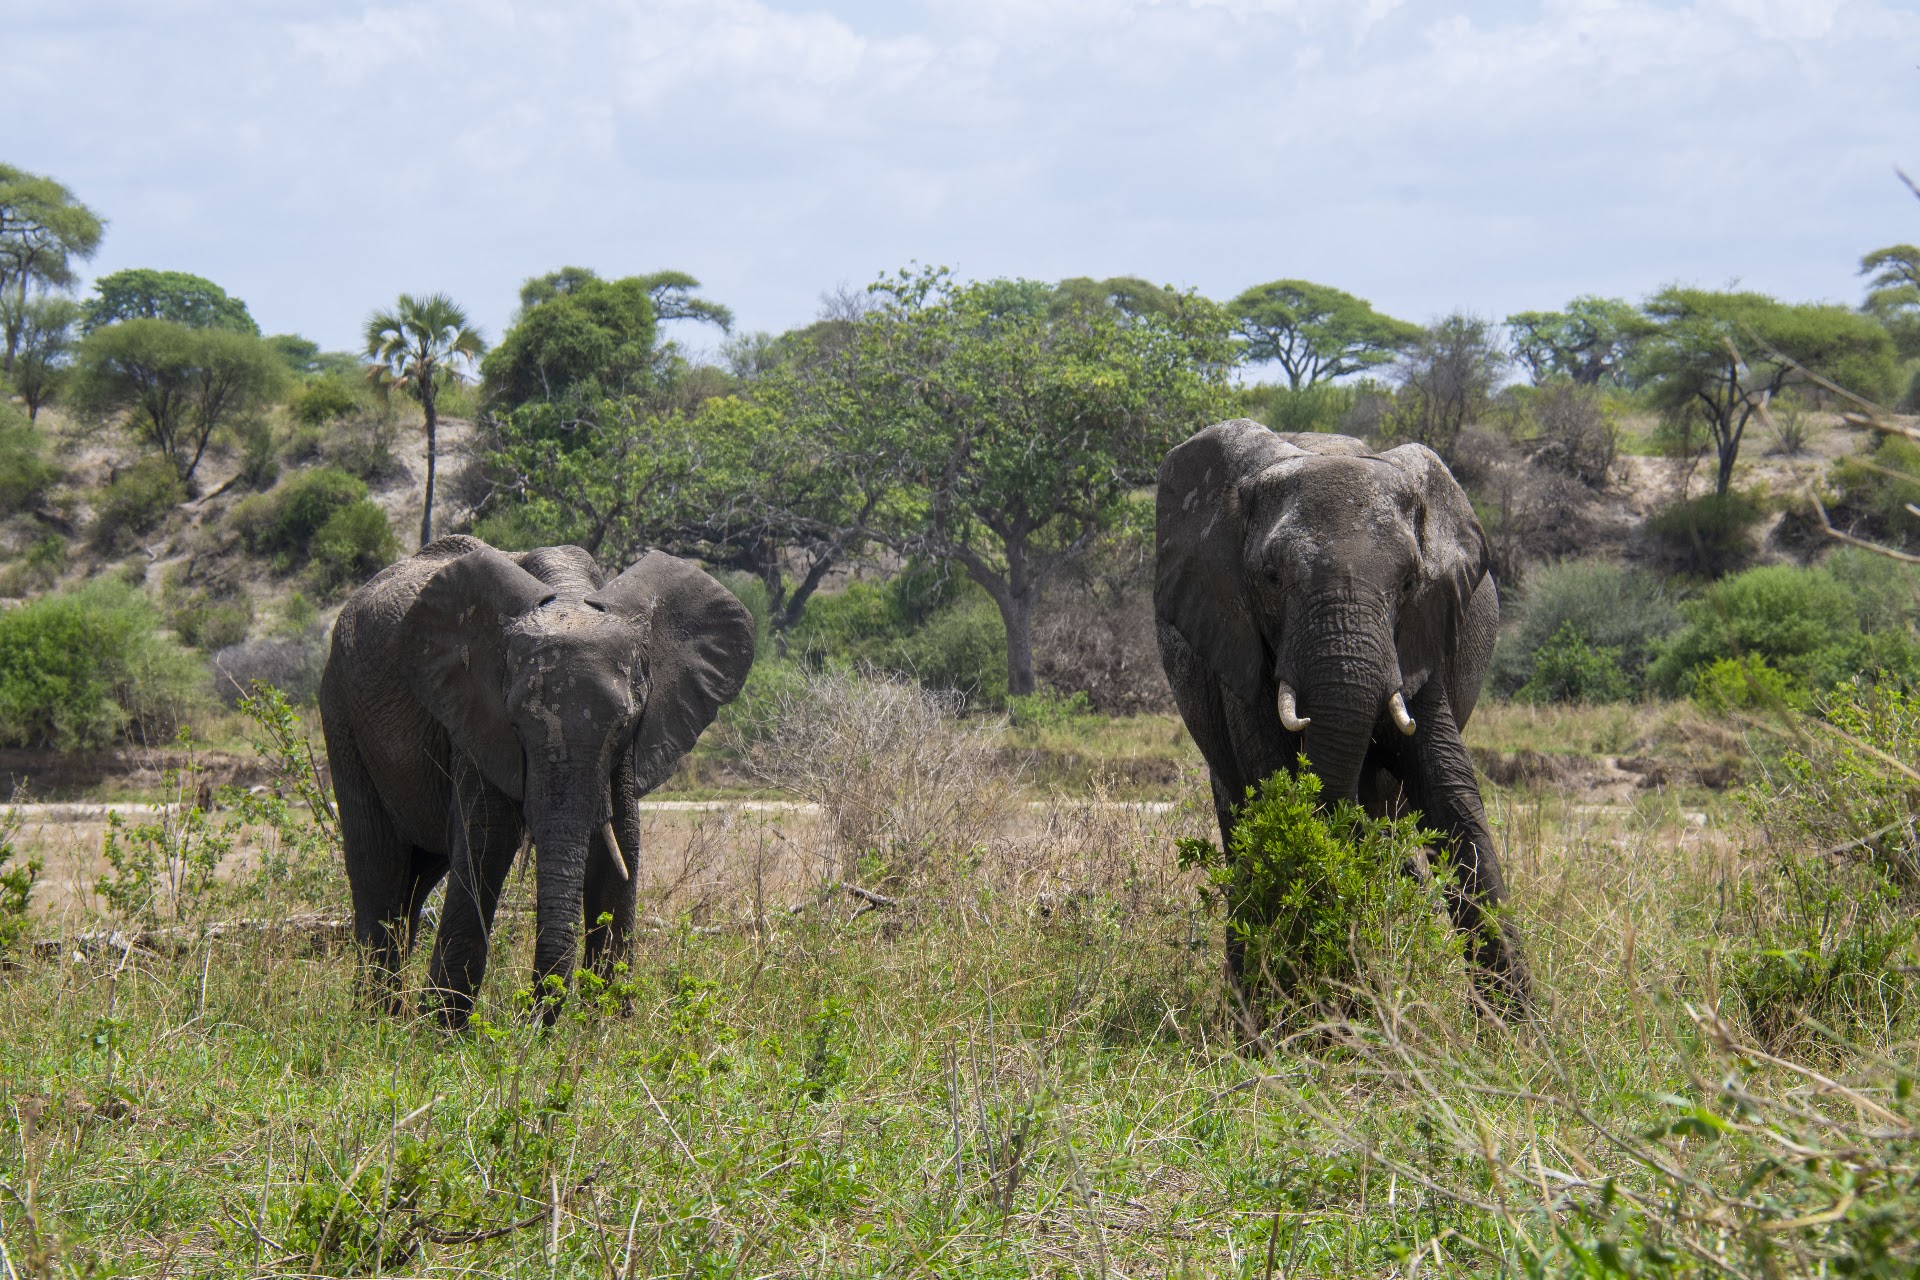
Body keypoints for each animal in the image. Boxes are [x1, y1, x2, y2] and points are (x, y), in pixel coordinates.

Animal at [318, 535, 756, 1027]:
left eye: (622, 723)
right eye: (516, 721)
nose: (531, 1013)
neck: (568, 593)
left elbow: (620, 844)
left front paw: (607, 1029)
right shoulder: (472, 713)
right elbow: (488, 840)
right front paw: (444, 1032)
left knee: (413, 882)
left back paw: (389, 1019)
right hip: (341, 712)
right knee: (379, 873)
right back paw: (377, 1024)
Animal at [1153, 420, 1531, 1016]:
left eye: (1409, 583)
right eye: (1271, 576)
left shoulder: (1421, 635)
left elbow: (1451, 797)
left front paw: (1523, 1035)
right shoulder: (1238, 642)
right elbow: (1276, 786)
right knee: (1239, 822)